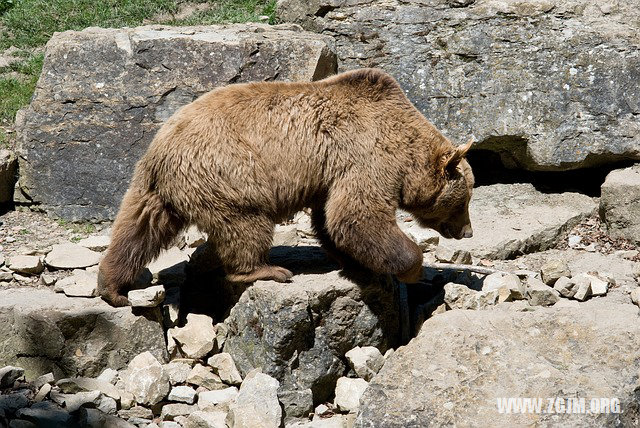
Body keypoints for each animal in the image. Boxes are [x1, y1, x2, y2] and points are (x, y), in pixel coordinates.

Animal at [97, 68, 472, 306]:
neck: (407, 150)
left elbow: (331, 222)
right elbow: (356, 216)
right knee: (246, 224)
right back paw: (266, 270)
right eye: (464, 200)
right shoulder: (366, 155)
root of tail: (161, 145)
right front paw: (413, 268)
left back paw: (112, 286)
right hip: (228, 173)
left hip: (154, 187)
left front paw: (357, 263)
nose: (467, 231)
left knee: (137, 228)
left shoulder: (328, 173)